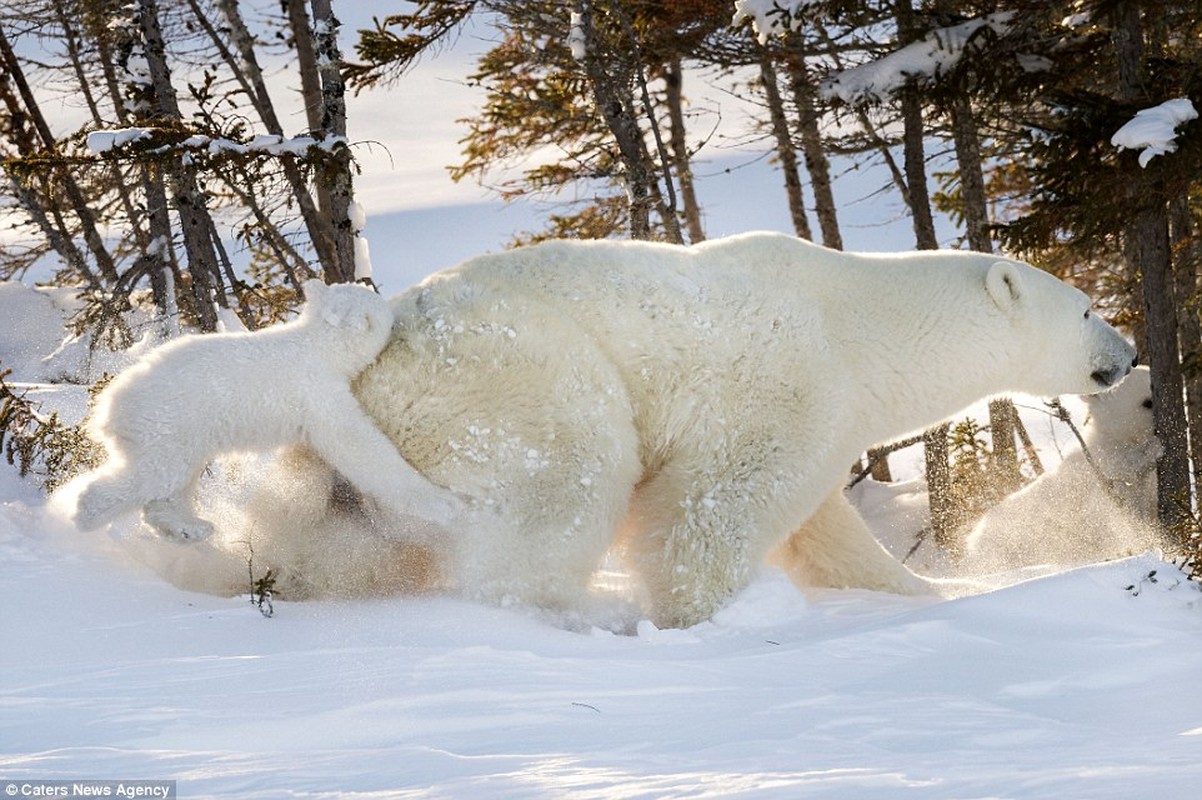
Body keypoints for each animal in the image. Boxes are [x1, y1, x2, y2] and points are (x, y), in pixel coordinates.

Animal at [343, 230, 1129, 624]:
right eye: (1088, 307)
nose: (1127, 356)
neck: (859, 326)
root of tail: (382, 348)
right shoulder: (783, 388)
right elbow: (714, 508)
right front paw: (705, 614)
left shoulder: (835, 413)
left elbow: (827, 532)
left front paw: (926, 592)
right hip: (510, 372)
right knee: (569, 478)